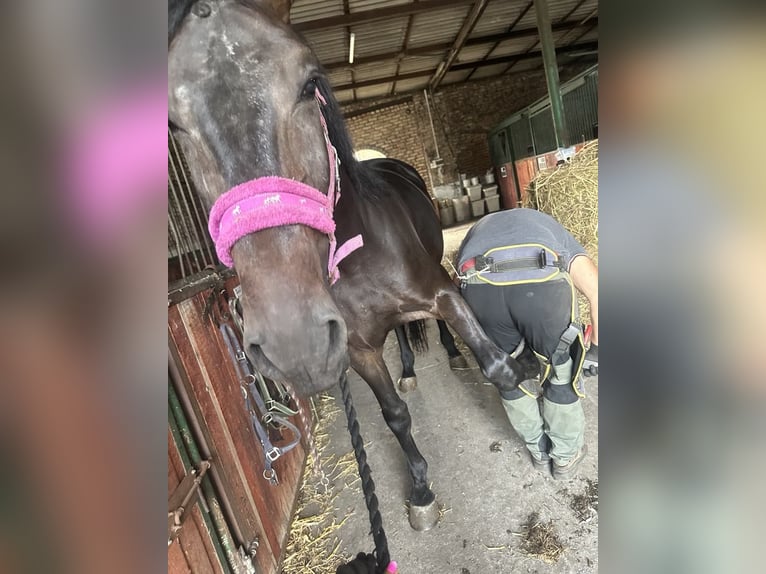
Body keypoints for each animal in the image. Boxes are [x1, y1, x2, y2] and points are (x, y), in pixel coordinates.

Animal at [168, 0, 528, 532]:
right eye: (173, 125)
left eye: (309, 82)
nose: (293, 343)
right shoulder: (357, 350)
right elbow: (395, 414)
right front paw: (421, 489)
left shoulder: (444, 293)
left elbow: (497, 366)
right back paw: (408, 367)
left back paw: (451, 353)